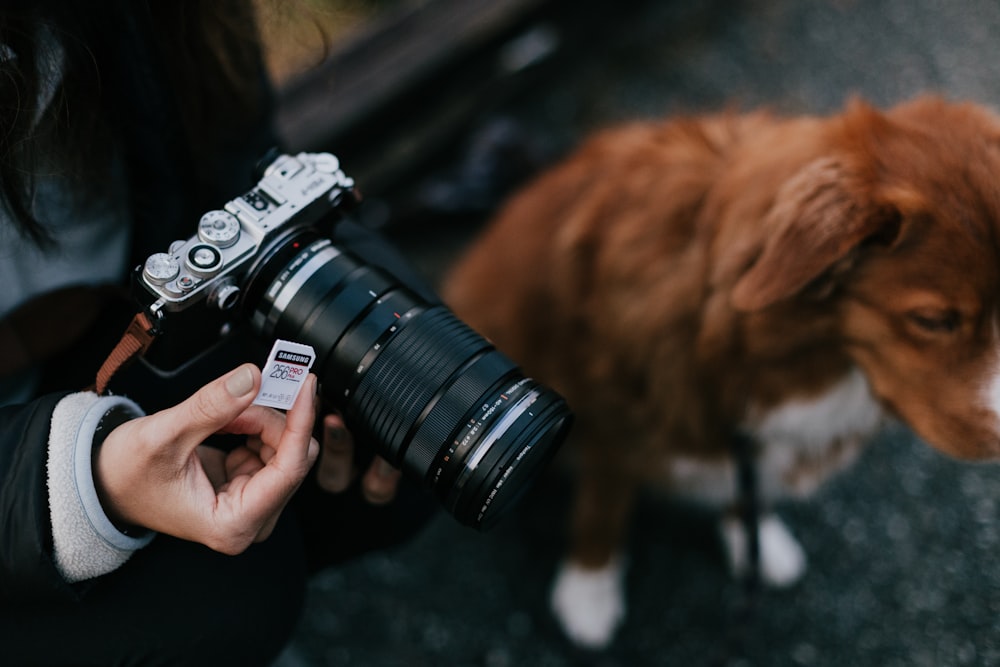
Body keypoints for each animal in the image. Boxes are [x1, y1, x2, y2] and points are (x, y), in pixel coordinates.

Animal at [444, 96, 1000, 648]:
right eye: (933, 320)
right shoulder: (611, 420)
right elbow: (602, 511)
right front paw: (589, 591)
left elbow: (744, 488)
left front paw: (754, 538)